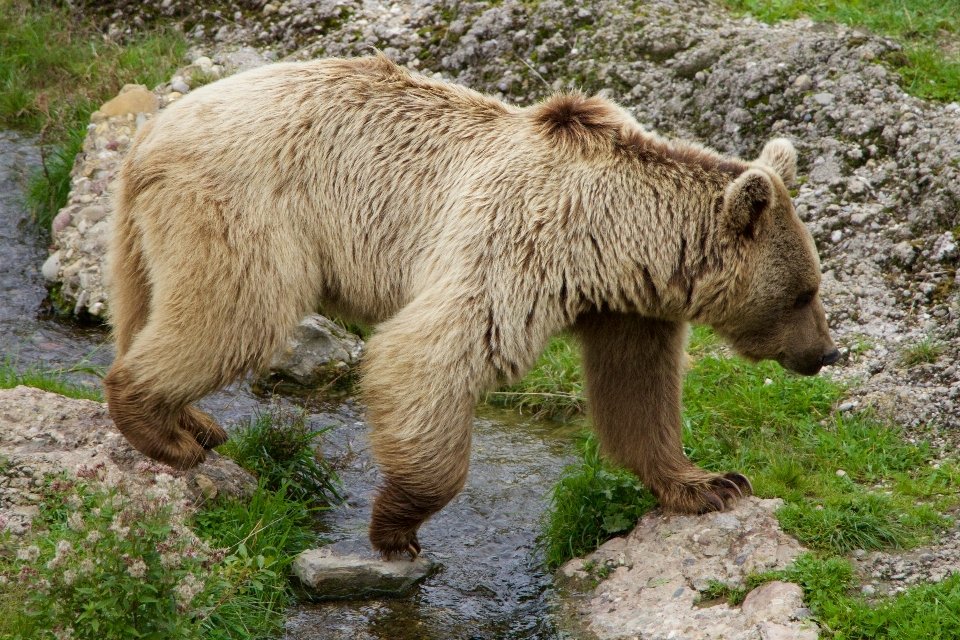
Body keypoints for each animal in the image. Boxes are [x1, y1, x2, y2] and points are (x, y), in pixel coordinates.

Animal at [107, 55, 840, 556]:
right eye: (804, 291)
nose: (826, 352)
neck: (613, 240)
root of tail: (152, 132)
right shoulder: (520, 243)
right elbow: (428, 357)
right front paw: (396, 526)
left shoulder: (626, 308)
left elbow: (638, 391)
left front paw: (709, 482)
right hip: (245, 206)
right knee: (238, 311)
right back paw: (161, 428)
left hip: (144, 232)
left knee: (146, 307)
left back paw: (192, 418)